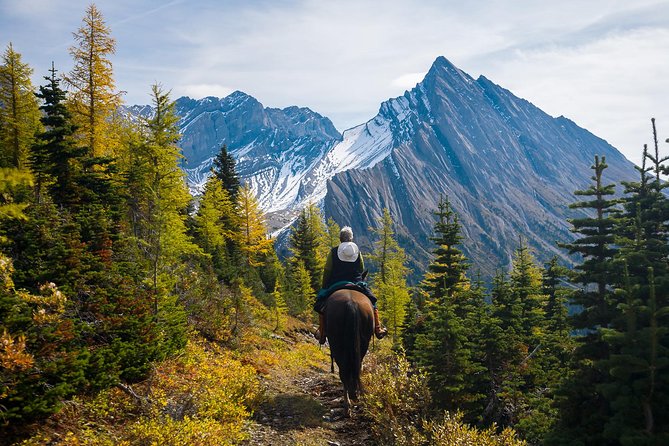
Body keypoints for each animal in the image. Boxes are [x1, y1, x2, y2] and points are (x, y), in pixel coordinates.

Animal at [322, 288, 374, 416]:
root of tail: (351, 304)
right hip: (363, 342)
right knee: (357, 367)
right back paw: (355, 395)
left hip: (337, 344)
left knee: (344, 373)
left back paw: (347, 406)